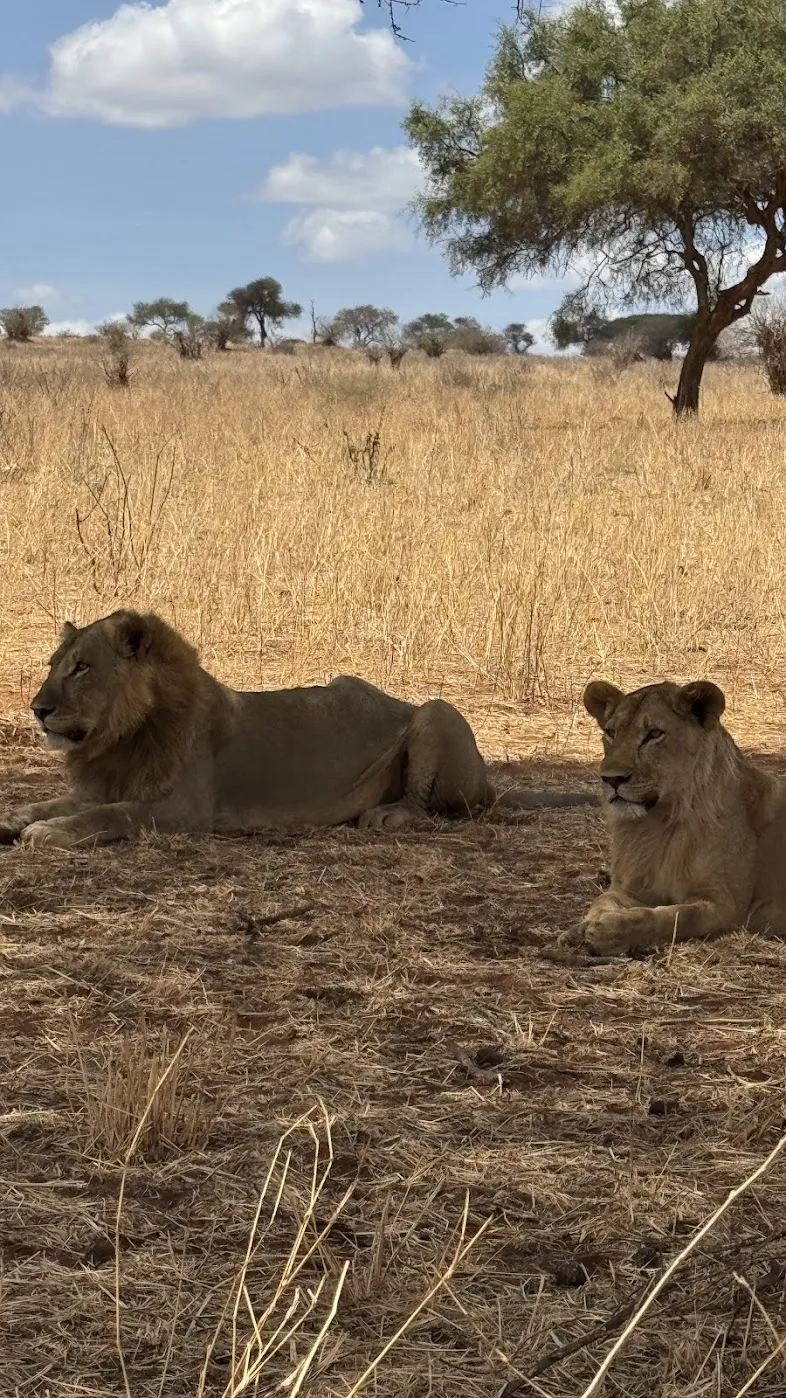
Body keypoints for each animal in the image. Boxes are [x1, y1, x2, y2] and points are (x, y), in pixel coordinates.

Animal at [0, 610, 594, 851]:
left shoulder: (183, 811)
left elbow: (107, 815)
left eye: (82, 667)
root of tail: (491, 783)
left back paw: (386, 815)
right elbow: (55, 803)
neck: (117, 740)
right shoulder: (105, 785)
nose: (37, 709)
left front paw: (46, 833)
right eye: (53, 665)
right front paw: (18, 818)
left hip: (436, 710)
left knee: (429, 807)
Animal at [573, 677, 786, 955]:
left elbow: (670, 918)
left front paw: (611, 931)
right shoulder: (631, 888)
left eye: (654, 734)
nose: (610, 779)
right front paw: (580, 928)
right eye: (611, 732)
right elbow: (601, 900)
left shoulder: (724, 904)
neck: (658, 824)